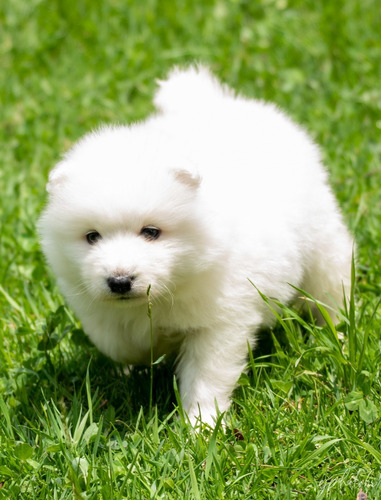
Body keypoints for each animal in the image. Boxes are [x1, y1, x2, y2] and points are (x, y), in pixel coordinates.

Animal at [38, 65, 350, 426]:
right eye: (92, 236)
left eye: (151, 232)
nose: (119, 281)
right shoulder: (98, 309)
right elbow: (120, 342)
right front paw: (141, 359)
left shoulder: (220, 320)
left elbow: (206, 376)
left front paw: (201, 425)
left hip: (321, 244)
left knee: (331, 286)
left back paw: (338, 333)